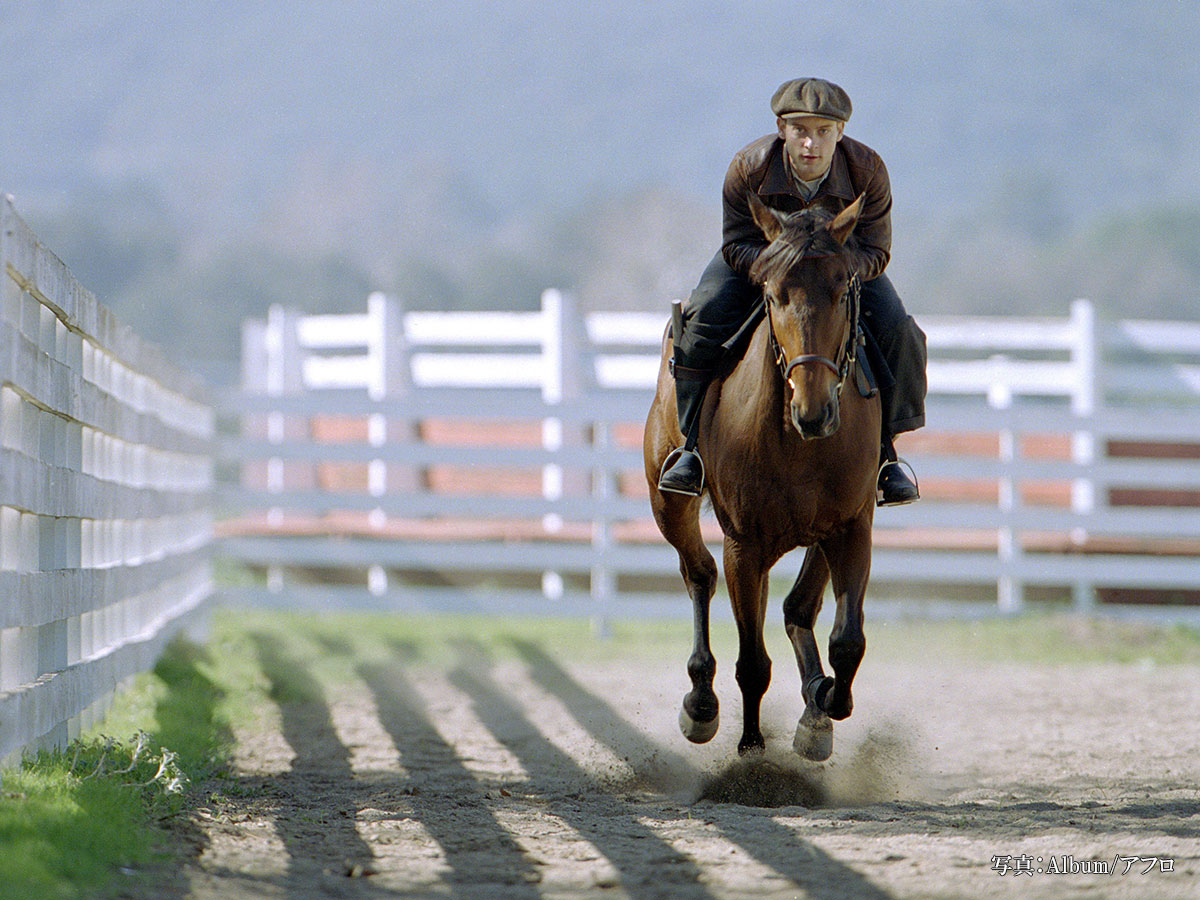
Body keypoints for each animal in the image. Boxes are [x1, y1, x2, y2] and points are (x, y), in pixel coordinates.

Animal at [648, 195, 883, 763]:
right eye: (773, 295)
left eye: (843, 290)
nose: (814, 411)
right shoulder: (744, 544)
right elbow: (752, 662)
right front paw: (751, 748)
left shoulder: (852, 527)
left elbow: (846, 639)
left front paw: (825, 702)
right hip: (670, 507)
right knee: (699, 574)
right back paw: (701, 701)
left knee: (798, 607)